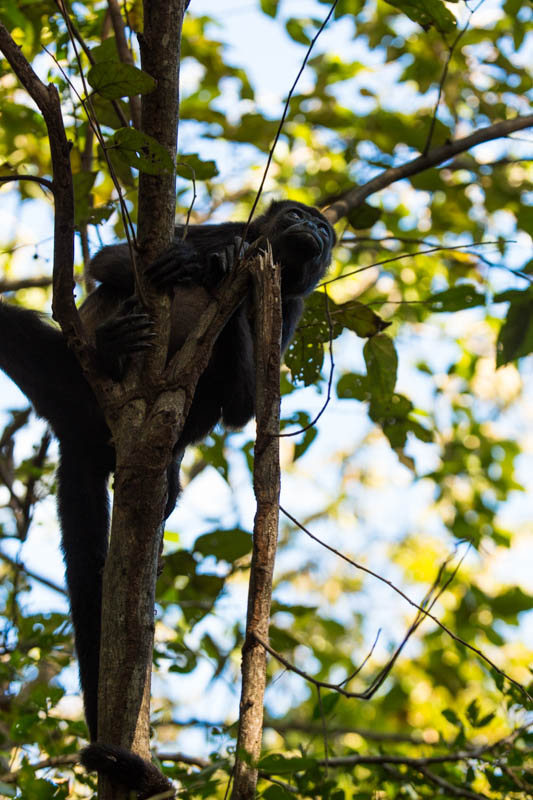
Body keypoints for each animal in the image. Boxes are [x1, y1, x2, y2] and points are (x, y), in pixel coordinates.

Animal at [0, 200, 334, 792]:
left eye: (323, 228)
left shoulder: (292, 306)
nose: (312, 227)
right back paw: (110, 351)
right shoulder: (227, 229)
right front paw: (201, 262)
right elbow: (112, 260)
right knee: (13, 322)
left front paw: (224, 278)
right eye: (296, 214)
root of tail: (81, 435)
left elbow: (245, 406)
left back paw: (169, 462)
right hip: (61, 375)